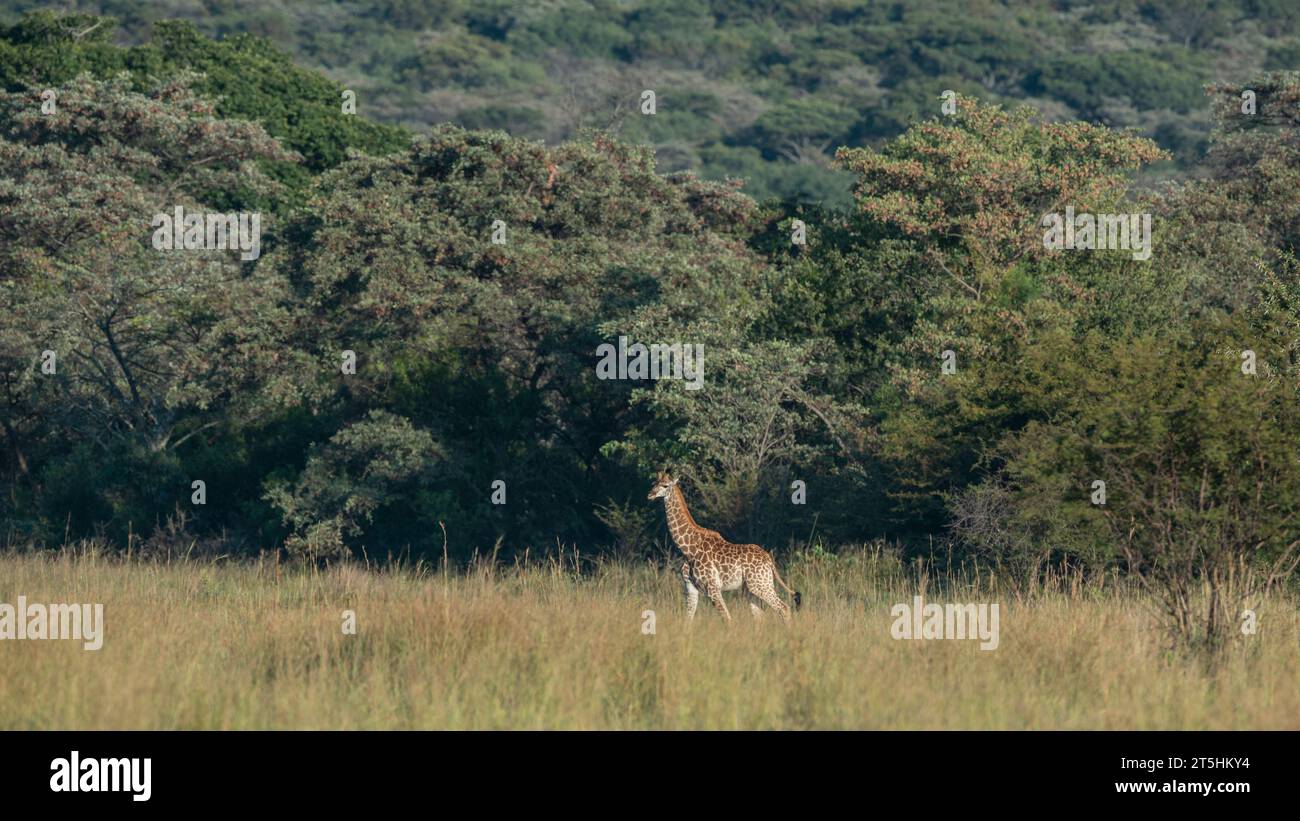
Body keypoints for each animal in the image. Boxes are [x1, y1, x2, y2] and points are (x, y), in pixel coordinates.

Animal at [644, 467, 795, 620]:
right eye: (654, 483)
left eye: (665, 486)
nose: (650, 495)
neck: (687, 547)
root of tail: (769, 560)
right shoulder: (690, 587)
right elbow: (688, 618)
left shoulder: (711, 586)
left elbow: (726, 618)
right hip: (753, 587)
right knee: (760, 616)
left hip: (760, 584)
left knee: (784, 608)